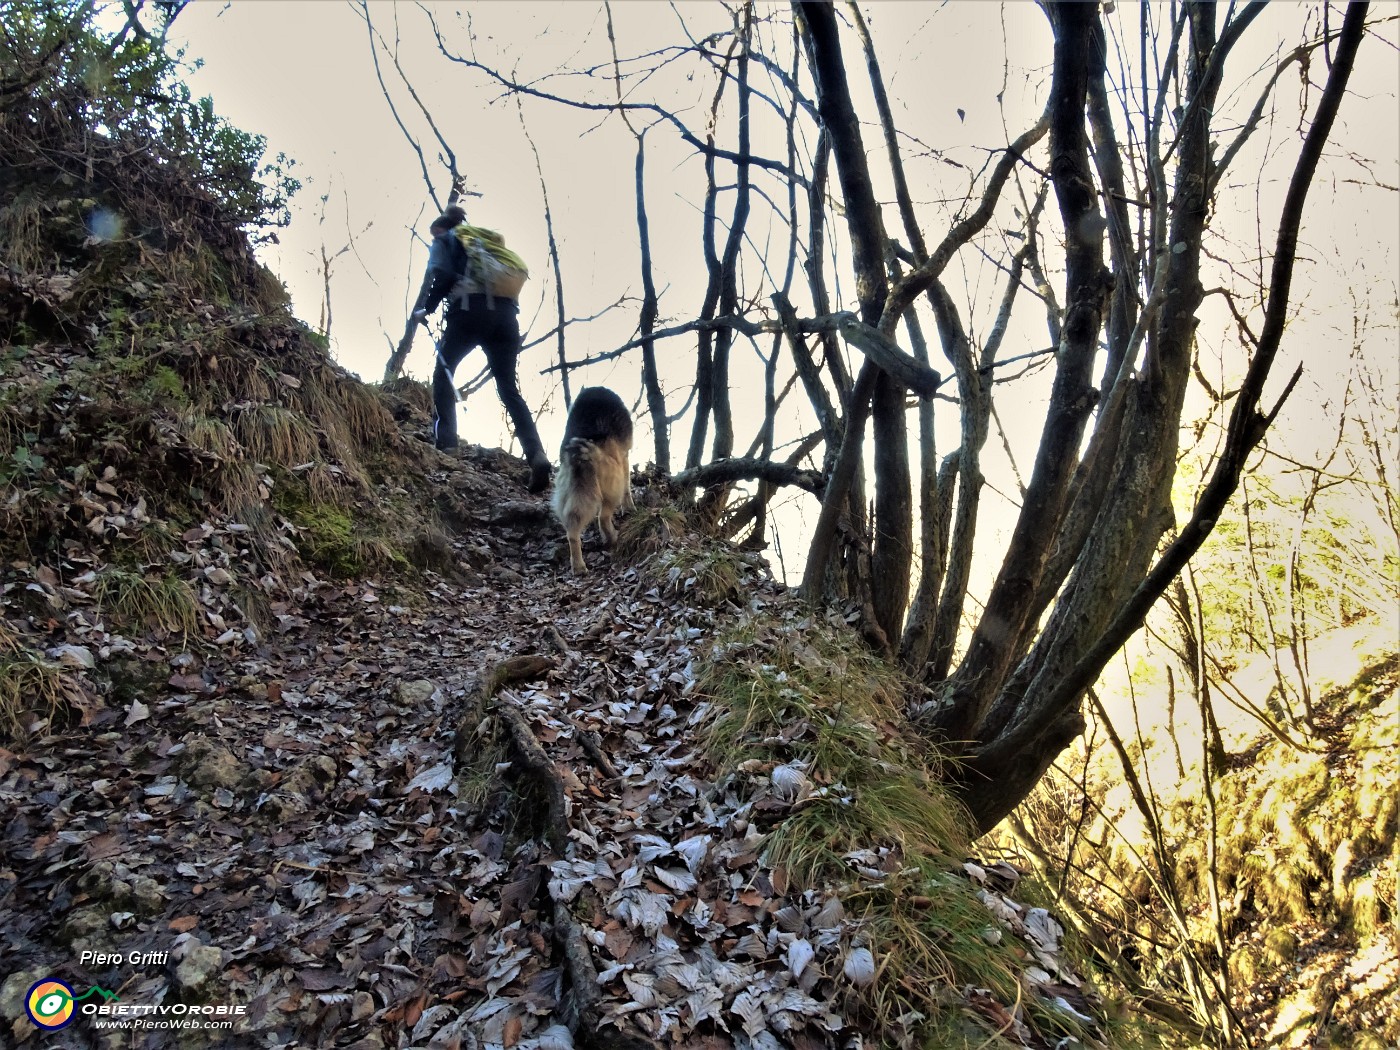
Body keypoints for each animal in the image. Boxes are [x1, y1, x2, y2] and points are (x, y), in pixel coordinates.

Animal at [548, 383, 638, 571]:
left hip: (569, 491)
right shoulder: (624, 457)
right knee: (603, 516)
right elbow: (627, 488)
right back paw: (611, 537)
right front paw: (630, 507)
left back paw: (578, 566)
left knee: (572, 531)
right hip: (612, 483)